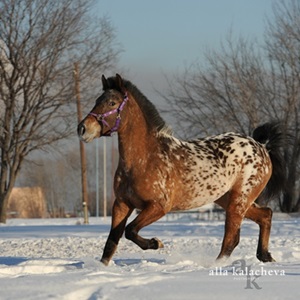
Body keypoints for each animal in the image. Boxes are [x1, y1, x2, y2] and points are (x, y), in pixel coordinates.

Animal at [77, 74, 286, 266]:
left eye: (112, 102)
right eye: (97, 101)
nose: (82, 128)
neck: (144, 159)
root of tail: (262, 147)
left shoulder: (158, 206)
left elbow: (130, 231)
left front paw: (156, 243)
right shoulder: (121, 204)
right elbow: (111, 243)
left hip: (239, 200)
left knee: (231, 238)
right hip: (228, 199)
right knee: (266, 215)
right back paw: (265, 256)